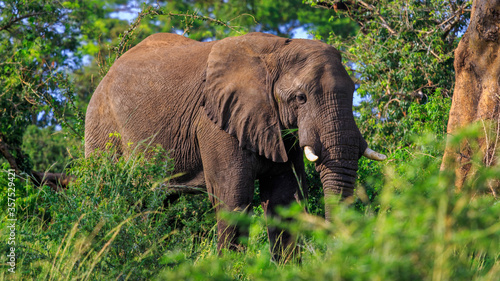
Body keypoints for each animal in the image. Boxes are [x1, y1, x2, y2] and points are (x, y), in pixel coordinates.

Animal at [84, 32, 384, 260]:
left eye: (355, 92)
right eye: (300, 98)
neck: (276, 50)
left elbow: (284, 202)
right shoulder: (215, 123)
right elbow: (234, 200)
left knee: (158, 204)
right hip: (102, 125)